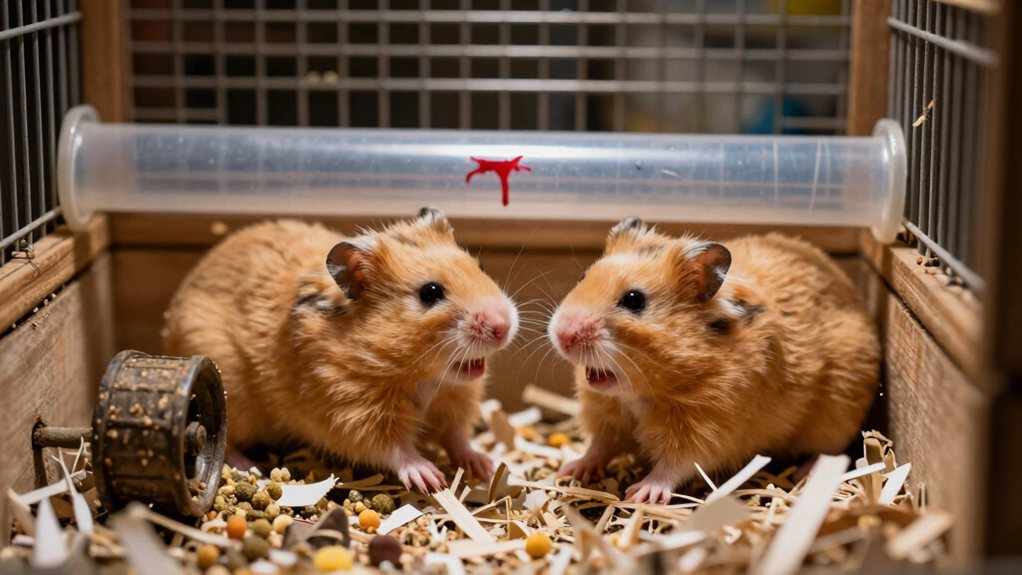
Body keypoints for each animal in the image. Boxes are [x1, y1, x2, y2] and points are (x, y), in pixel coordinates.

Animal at [163, 208, 519, 492]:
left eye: (481, 267)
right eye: (430, 293)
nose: (502, 327)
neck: (422, 375)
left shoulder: (455, 400)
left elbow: (456, 435)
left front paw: (483, 465)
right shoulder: (350, 412)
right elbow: (396, 448)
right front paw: (430, 477)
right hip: (233, 398)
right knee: (227, 437)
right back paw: (253, 467)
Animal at [548, 217, 879, 503]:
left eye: (634, 300)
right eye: (583, 277)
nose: (563, 335)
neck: (641, 392)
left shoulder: (707, 428)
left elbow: (674, 465)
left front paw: (640, 494)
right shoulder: (607, 415)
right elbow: (600, 445)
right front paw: (570, 471)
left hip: (836, 417)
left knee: (832, 452)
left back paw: (805, 475)